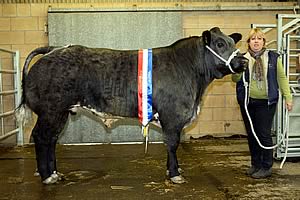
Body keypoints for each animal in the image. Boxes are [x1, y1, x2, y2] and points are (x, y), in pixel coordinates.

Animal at [15, 26, 247, 184]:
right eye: (219, 44)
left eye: (232, 43)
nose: (243, 62)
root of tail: (53, 50)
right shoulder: (173, 117)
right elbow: (172, 145)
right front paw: (175, 175)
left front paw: (172, 171)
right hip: (51, 111)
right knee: (41, 137)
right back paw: (47, 177)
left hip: (60, 112)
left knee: (51, 139)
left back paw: (54, 173)